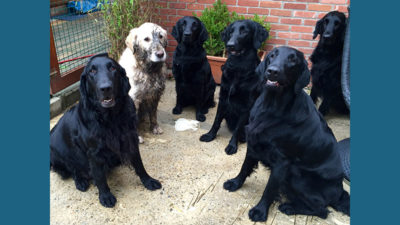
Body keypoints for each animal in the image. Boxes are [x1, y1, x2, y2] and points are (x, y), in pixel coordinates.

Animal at [50, 53, 161, 208]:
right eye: (92, 71)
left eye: (113, 68)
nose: (105, 88)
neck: (111, 119)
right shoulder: (94, 153)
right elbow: (100, 178)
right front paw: (105, 196)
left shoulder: (131, 140)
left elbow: (139, 164)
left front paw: (148, 180)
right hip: (60, 157)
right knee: (72, 170)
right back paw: (81, 181)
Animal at [200, 20, 268, 155]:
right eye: (231, 32)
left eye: (244, 31)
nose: (230, 45)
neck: (238, 67)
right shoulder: (223, 98)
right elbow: (216, 121)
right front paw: (210, 135)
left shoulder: (246, 106)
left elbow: (238, 128)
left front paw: (232, 145)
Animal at [225, 46, 350, 222]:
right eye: (272, 55)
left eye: (293, 60)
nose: (272, 71)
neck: (271, 106)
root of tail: (340, 191)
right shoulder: (254, 144)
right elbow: (244, 168)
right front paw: (235, 183)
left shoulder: (282, 162)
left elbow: (270, 188)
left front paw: (260, 211)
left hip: (297, 176)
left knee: (322, 210)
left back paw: (289, 207)